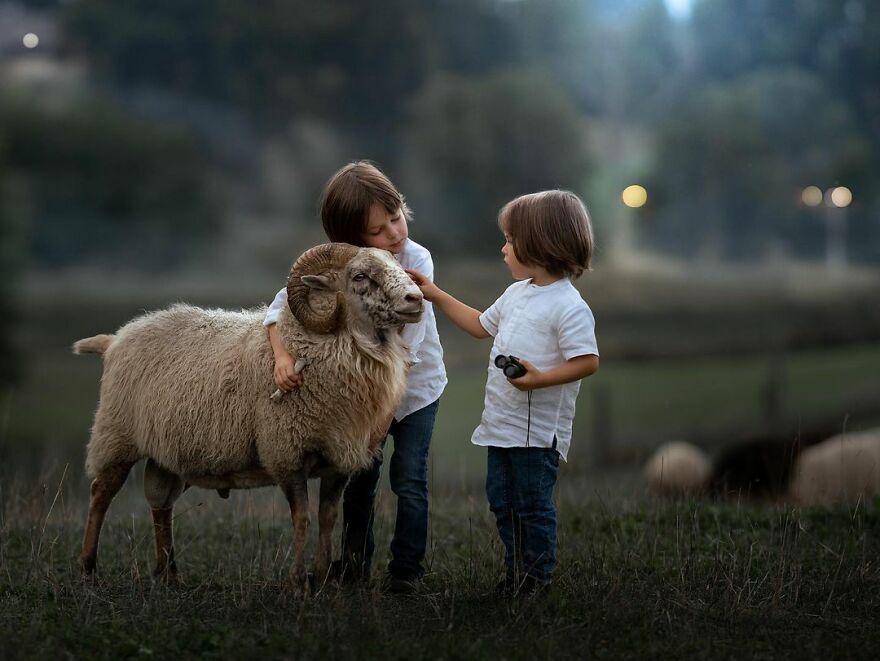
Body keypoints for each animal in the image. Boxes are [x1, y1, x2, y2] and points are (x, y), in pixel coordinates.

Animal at [72, 242, 422, 588]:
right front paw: (298, 582)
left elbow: (327, 519)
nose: (416, 298)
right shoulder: (286, 454)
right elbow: (302, 517)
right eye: (360, 276)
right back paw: (88, 567)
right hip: (116, 437)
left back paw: (169, 574)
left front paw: (322, 579)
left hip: (167, 453)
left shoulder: (337, 462)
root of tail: (116, 338)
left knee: (160, 502)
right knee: (100, 494)